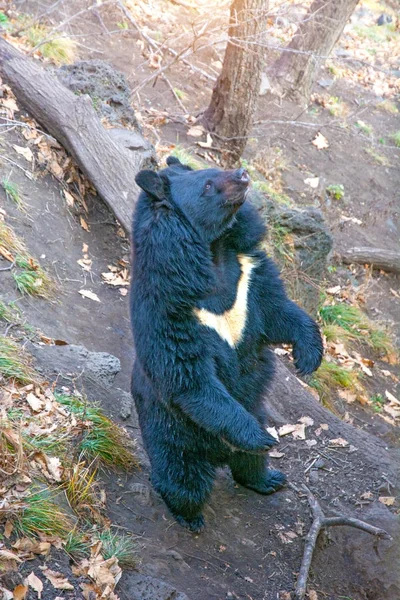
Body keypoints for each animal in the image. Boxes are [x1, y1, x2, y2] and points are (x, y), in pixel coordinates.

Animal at [130, 157, 324, 532]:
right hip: (173, 433)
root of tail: (218, 455)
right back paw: (189, 516)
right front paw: (263, 438)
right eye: (207, 185)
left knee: (249, 464)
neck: (213, 251)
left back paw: (269, 479)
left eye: (210, 167)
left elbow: (278, 311)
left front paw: (308, 358)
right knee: (183, 479)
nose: (242, 174)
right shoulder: (171, 306)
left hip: (255, 407)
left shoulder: (248, 275)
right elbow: (188, 374)